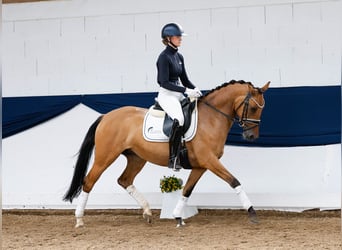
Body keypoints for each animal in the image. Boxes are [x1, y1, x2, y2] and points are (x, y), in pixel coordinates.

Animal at [62, 79, 270, 227]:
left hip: (137, 158)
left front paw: (178, 217)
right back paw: (79, 219)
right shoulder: (210, 161)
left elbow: (187, 190)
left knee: (124, 180)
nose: (251, 136)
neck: (211, 119)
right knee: (89, 181)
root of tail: (106, 116)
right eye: (253, 108)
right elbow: (234, 181)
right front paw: (252, 212)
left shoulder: (201, 165)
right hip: (105, 156)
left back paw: (147, 212)